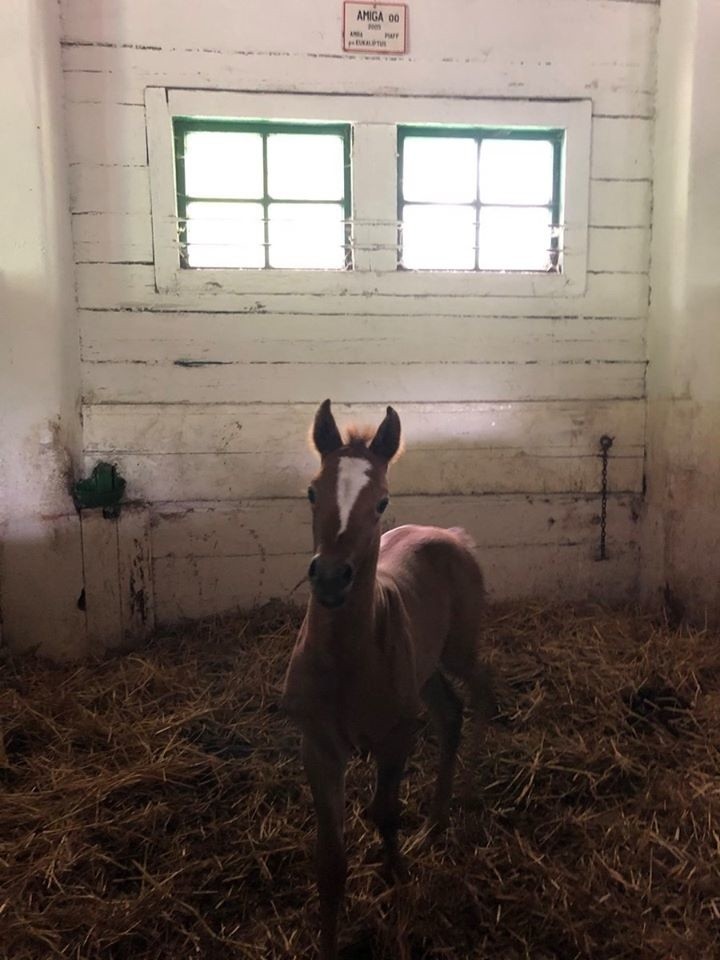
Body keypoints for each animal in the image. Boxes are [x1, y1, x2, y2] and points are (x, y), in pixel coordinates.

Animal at [278, 400, 492, 960]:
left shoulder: (396, 736)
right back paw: (436, 821)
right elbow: (330, 863)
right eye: (313, 491)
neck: (346, 661)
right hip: (426, 670)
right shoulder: (318, 747)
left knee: (483, 693)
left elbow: (384, 812)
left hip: (459, 649)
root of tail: (452, 536)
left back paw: (467, 796)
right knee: (450, 713)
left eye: (381, 501)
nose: (332, 578)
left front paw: (397, 875)